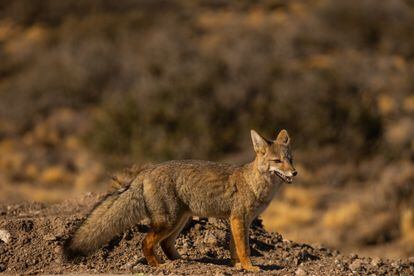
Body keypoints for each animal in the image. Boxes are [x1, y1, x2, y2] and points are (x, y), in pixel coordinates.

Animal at [64, 129, 298, 272]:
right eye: (277, 161)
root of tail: (146, 171)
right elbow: (244, 248)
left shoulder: (238, 221)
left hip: (180, 221)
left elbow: (234, 248)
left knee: (166, 244)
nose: (294, 173)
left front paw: (237, 266)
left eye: (290, 159)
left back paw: (181, 261)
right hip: (168, 222)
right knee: (146, 242)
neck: (254, 183)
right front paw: (249, 267)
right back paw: (158, 266)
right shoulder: (239, 219)